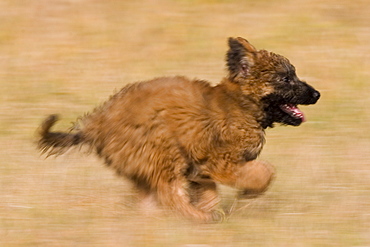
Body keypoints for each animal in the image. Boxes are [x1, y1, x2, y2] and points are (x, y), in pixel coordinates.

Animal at [38, 37, 320, 223]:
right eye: (285, 79)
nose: (317, 94)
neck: (241, 105)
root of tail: (96, 124)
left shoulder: (201, 171)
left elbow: (210, 193)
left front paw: (216, 207)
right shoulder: (222, 164)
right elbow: (265, 172)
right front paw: (249, 192)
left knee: (153, 199)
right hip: (162, 150)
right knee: (169, 194)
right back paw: (199, 218)